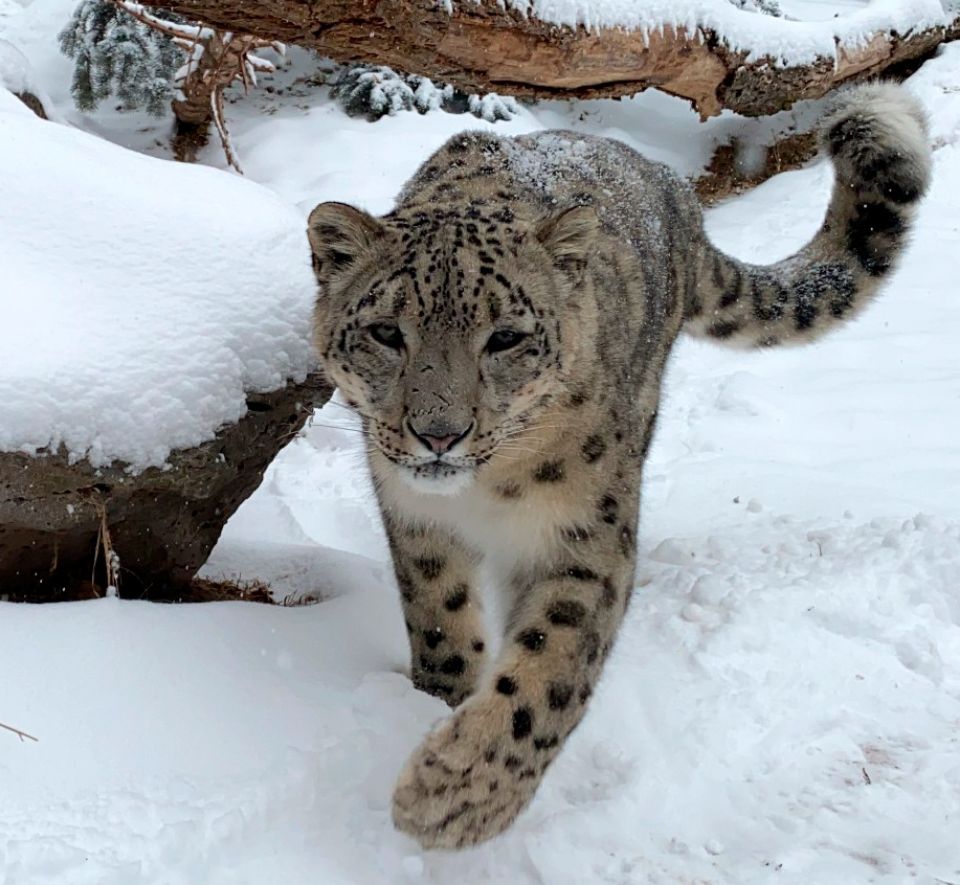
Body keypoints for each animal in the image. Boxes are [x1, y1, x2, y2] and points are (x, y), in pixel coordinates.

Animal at [306, 83, 931, 850]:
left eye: (505, 337)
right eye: (385, 332)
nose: (439, 435)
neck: (482, 494)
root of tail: (678, 194)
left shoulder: (584, 533)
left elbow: (552, 667)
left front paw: (453, 796)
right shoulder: (414, 516)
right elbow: (439, 618)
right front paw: (439, 699)